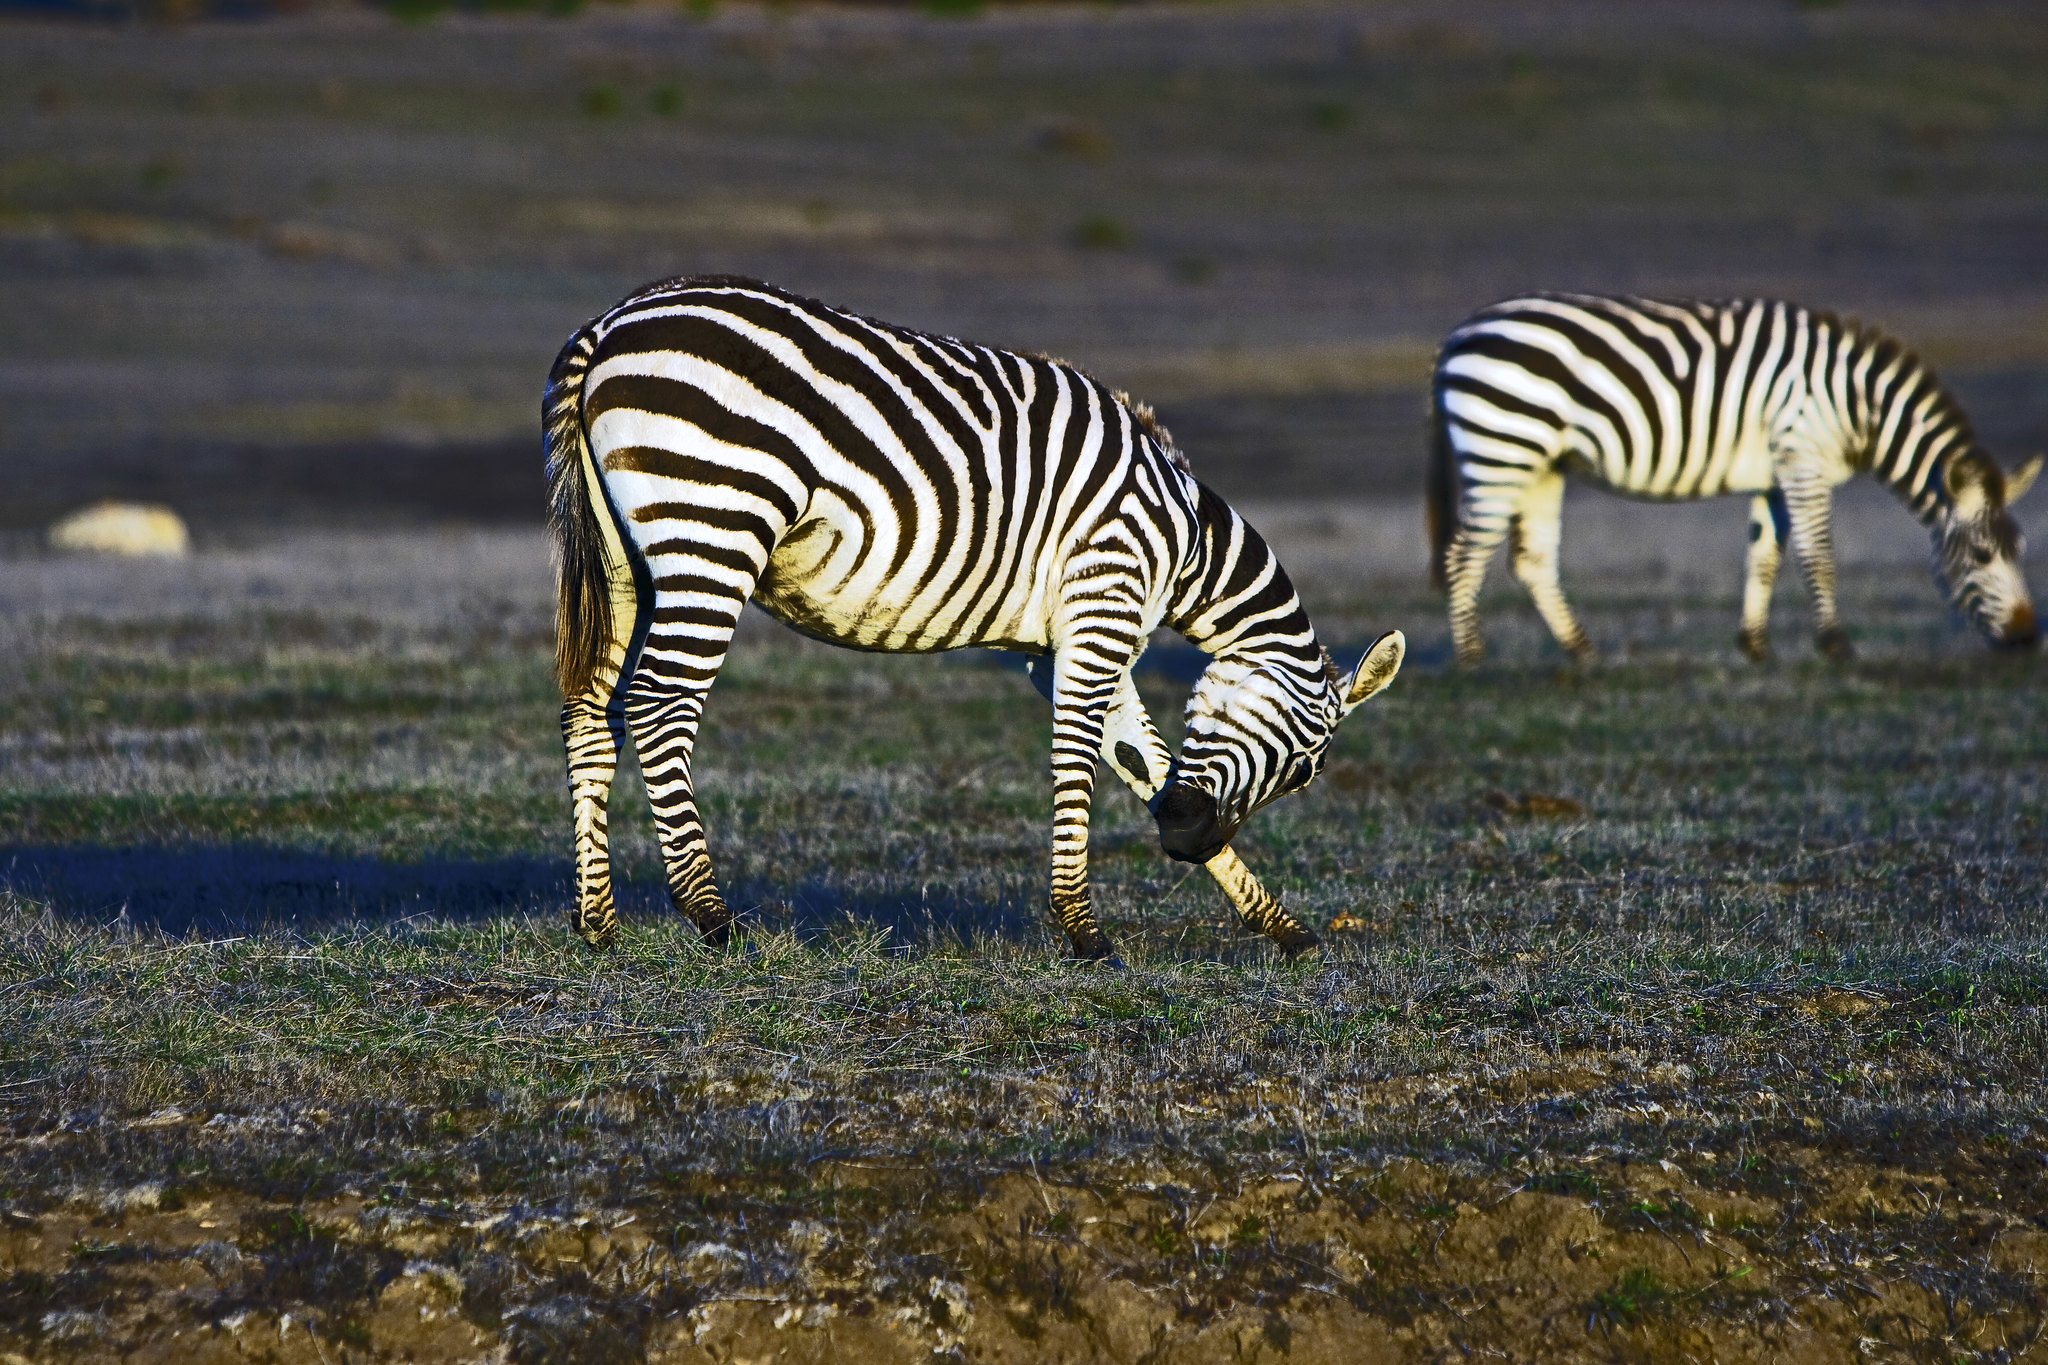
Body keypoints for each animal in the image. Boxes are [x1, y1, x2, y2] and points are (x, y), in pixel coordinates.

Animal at [544, 274, 1409, 961]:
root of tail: (612, 325)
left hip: (625, 563)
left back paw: (598, 921)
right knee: (658, 708)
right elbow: (1081, 756)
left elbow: (1142, 759)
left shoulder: (1068, 637)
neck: (1186, 534)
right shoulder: (1103, 601)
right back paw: (711, 914)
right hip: (714, 529)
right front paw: (1084, 929)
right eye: (1308, 768)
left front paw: (1279, 924)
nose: (1186, 840)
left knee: (589, 710)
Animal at [1433, 294, 2039, 667]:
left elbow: (1765, 555)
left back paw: (1582, 651)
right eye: (1982, 555)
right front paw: (1836, 646)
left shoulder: (1777, 473)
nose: (2028, 638)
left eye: (2021, 551)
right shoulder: (1803, 456)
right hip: (1499, 450)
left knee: (1532, 561)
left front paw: (1755, 646)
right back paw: (1471, 657)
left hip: (1539, 463)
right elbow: (1818, 555)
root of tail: (1458, 332)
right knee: (1463, 555)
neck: (1856, 403)